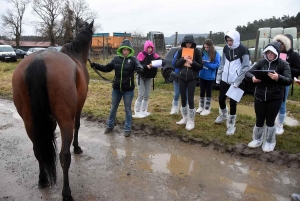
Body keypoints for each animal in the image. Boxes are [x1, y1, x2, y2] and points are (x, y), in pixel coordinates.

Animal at [12, 20, 94, 199]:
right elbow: (78, 126)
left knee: (38, 149)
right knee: (64, 156)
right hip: (65, 120)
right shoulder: (78, 108)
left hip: (29, 122)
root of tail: (39, 61)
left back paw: (43, 180)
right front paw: (77, 147)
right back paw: (66, 193)